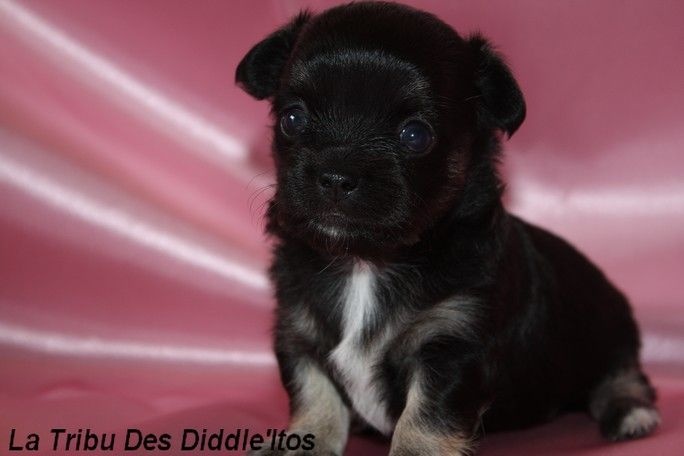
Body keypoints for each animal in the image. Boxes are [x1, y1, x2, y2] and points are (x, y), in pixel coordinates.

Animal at [235, 2, 660, 454]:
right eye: (292, 119)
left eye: (415, 135)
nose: (336, 176)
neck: (364, 262)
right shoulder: (298, 331)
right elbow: (314, 393)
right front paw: (301, 441)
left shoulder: (452, 344)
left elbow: (425, 419)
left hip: (608, 334)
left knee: (622, 376)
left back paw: (630, 412)